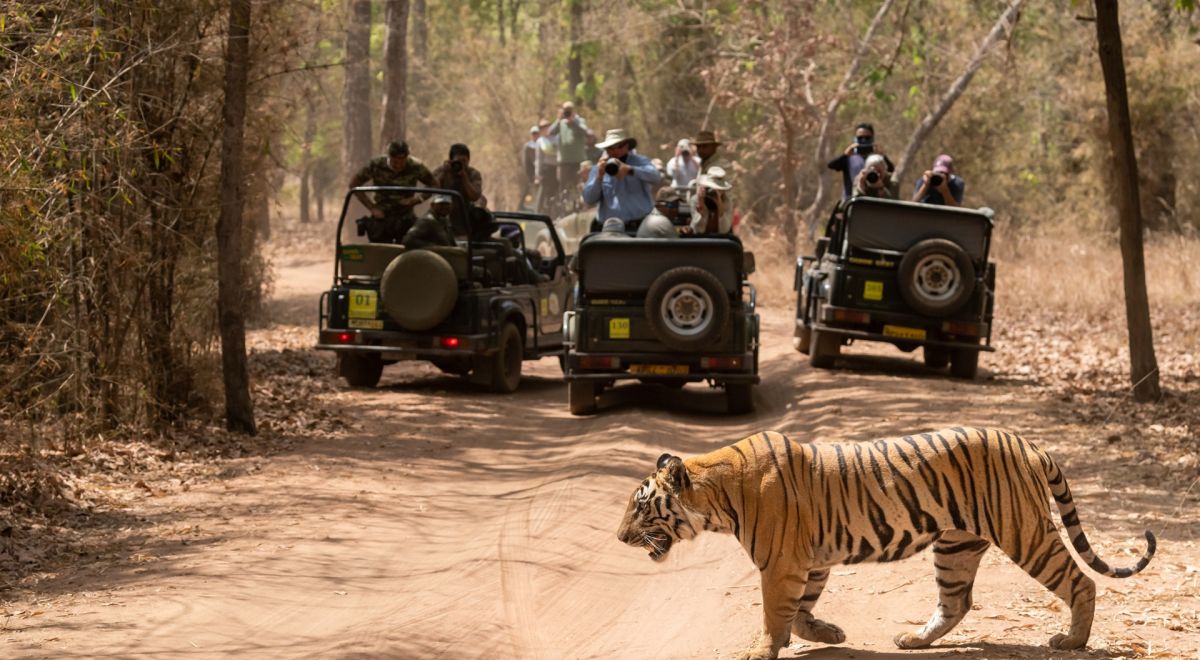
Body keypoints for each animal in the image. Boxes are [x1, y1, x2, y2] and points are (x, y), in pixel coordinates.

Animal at [616, 427, 1155, 660]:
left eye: (641, 507)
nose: (620, 537)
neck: (718, 494)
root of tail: (1029, 442)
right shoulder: (810, 560)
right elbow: (801, 609)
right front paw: (828, 635)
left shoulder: (783, 562)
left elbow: (774, 611)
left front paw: (763, 649)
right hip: (956, 546)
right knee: (956, 602)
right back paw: (913, 640)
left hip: (1025, 531)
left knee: (1080, 581)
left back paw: (1072, 641)